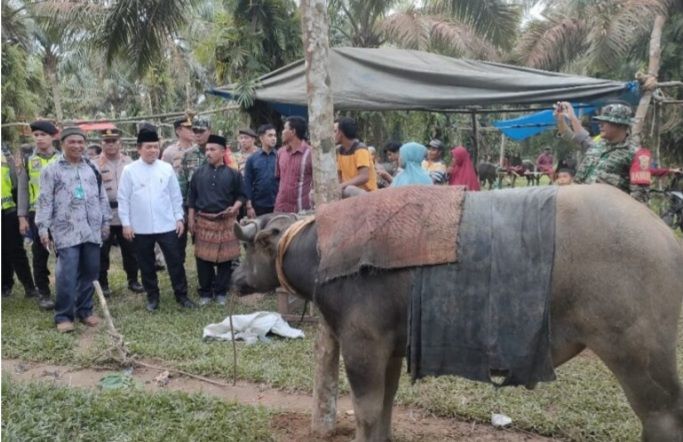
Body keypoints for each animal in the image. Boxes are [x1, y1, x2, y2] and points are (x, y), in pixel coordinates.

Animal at [231, 184, 683, 442]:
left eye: (246, 246)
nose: (234, 277)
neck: (322, 250)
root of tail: (665, 237)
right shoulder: (390, 348)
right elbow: (387, 406)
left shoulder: (363, 345)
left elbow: (366, 411)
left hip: (637, 355)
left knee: (662, 417)